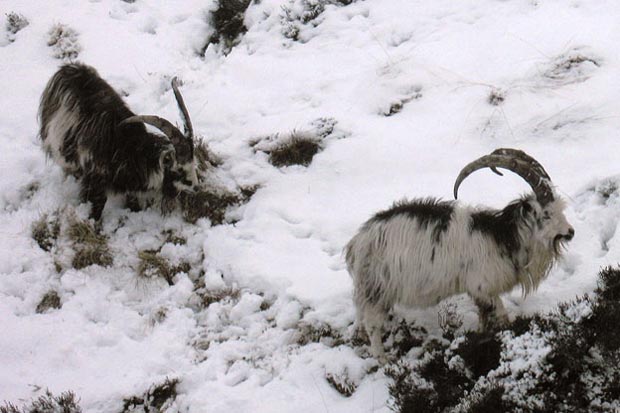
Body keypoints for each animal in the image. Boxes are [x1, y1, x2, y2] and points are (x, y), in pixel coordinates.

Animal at [38, 63, 197, 220]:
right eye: (179, 170)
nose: (195, 187)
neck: (129, 149)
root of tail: (69, 68)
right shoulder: (95, 180)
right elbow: (97, 204)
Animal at [344, 148, 572, 360]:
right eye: (546, 214)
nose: (570, 232)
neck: (503, 236)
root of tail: (358, 242)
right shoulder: (483, 287)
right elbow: (500, 315)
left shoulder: (478, 293)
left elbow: (483, 317)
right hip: (378, 288)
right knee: (372, 324)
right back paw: (383, 360)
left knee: (361, 315)